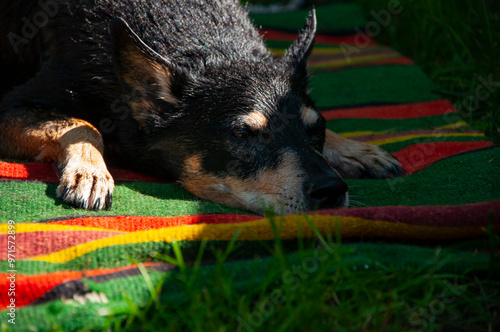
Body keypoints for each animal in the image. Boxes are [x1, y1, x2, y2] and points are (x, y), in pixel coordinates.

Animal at [0, 0, 404, 215]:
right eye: (241, 134)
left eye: (317, 129)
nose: (331, 191)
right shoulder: (11, 103)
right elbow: (84, 125)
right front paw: (91, 172)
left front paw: (354, 149)